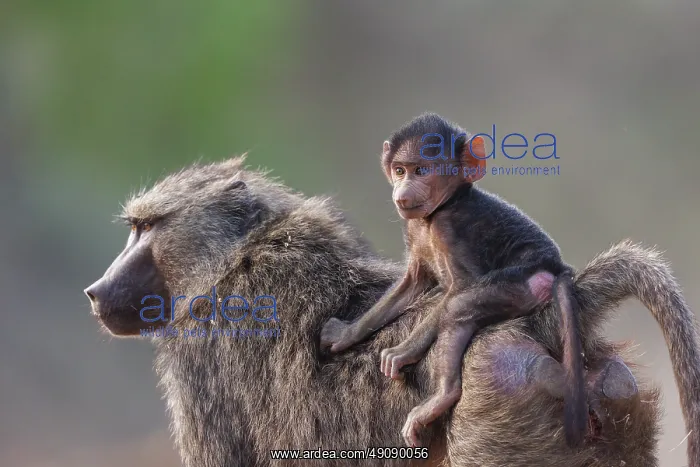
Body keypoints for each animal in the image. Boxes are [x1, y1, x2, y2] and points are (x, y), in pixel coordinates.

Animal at [84, 156, 700, 466]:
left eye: (146, 227)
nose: (95, 291)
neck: (240, 255)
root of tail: (548, 315)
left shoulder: (201, 359)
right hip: (612, 400)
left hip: (501, 409)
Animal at [321, 113, 588, 448]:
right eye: (400, 170)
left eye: (421, 171)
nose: (402, 193)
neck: (440, 210)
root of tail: (555, 267)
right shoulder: (415, 230)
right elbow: (411, 285)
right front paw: (345, 335)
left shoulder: (450, 228)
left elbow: (459, 287)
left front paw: (403, 352)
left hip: (519, 287)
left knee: (457, 309)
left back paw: (443, 396)